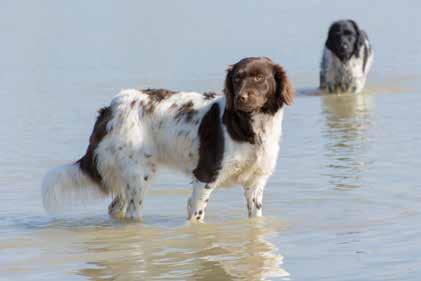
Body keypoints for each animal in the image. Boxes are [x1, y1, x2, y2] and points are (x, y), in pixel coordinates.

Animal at [41, 57, 294, 221]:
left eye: (259, 77)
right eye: (236, 79)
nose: (241, 98)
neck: (249, 128)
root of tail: (111, 106)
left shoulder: (256, 183)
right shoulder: (205, 176)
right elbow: (196, 215)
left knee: (115, 208)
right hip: (138, 175)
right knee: (132, 213)